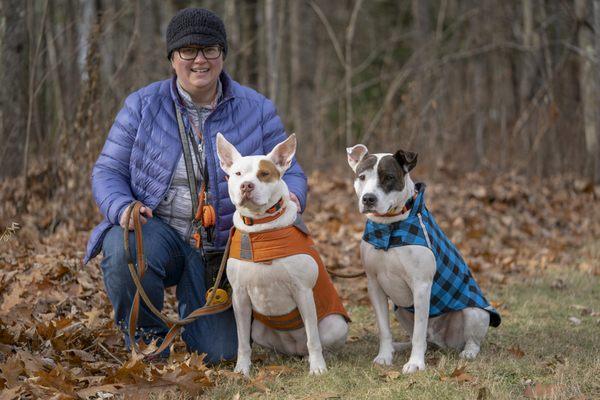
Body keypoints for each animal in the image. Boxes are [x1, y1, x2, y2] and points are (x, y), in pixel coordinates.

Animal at [217, 134, 350, 376]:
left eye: (264, 174)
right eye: (238, 174)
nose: (246, 185)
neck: (262, 228)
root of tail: (293, 348)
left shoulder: (303, 291)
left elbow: (313, 339)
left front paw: (318, 368)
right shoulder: (239, 297)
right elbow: (242, 342)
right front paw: (242, 369)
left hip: (335, 325)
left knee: (316, 341)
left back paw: (320, 358)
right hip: (258, 329)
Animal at [344, 145, 500, 376]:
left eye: (389, 177)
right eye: (361, 177)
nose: (368, 199)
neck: (389, 227)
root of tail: (440, 341)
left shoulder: (421, 286)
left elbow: (419, 333)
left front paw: (416, 363)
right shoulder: (374, 285)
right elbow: (384, 329)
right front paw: (385, 356)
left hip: (476, 312)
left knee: (469, 340)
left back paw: (468, 352)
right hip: (401, 308)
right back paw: (400, 347)